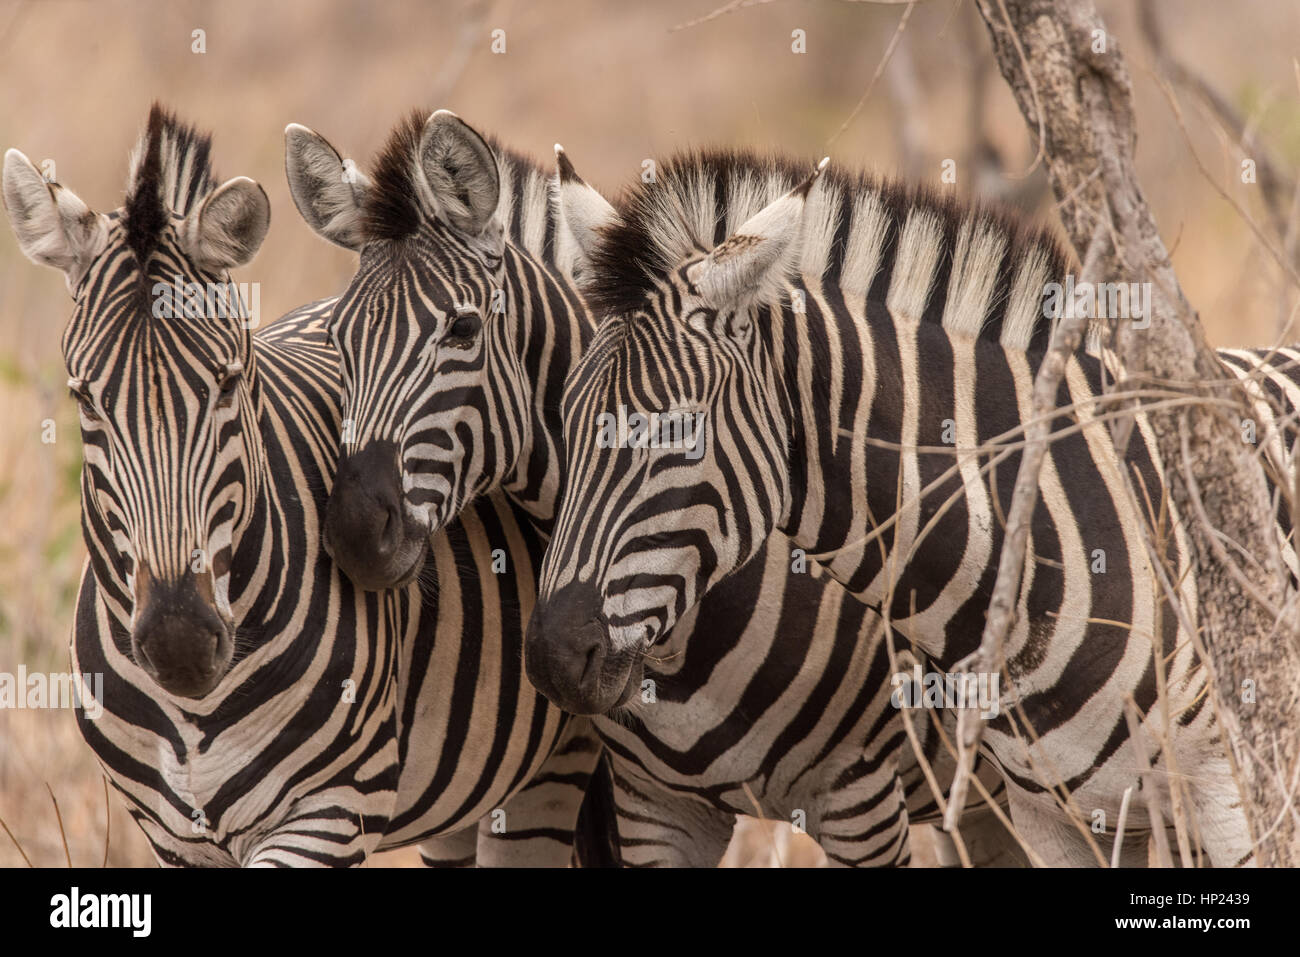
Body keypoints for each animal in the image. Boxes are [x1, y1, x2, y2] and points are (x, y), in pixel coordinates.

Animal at [1, 105, 598, 866]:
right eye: (84, 398)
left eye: (229, 383)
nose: (178, 642)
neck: (193, 709)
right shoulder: (172, 838)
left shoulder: (328, 812)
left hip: (550, 771)